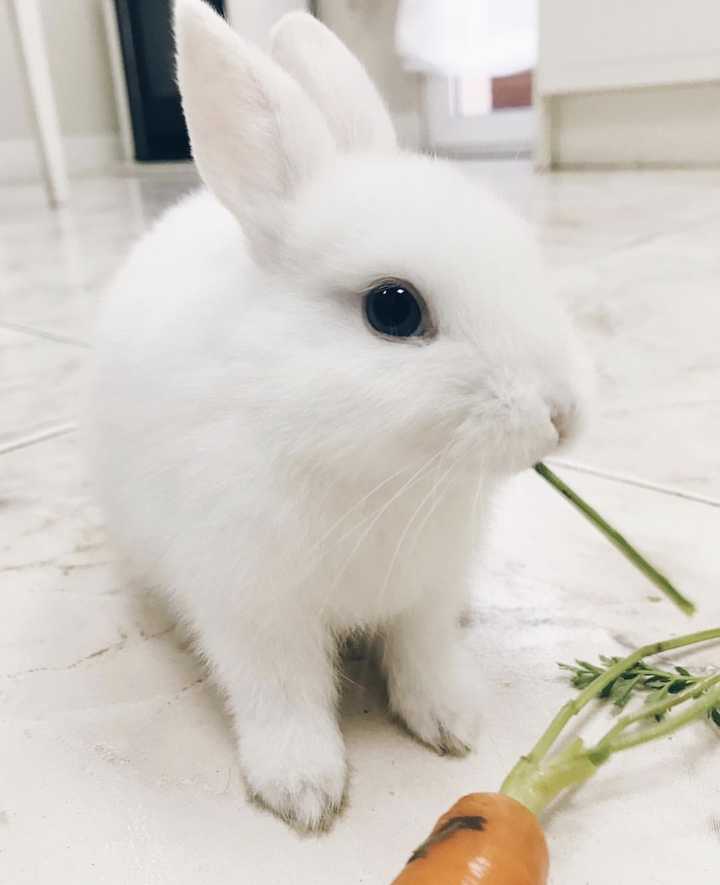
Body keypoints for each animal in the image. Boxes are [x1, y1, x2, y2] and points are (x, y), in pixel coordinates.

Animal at [92, 0, 589, 831]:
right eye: (394, 308)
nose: (563, 414)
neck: (369, 468)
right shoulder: (254, 607)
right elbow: (282, 692)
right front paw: (304, 792)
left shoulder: (426, 593)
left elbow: (422, 653)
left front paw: (451, 721)